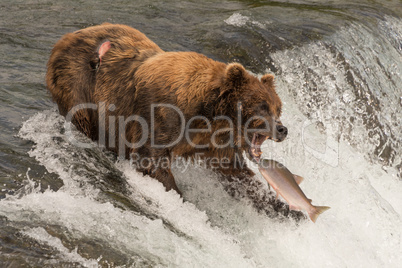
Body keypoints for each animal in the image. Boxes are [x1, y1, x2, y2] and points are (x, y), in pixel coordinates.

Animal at [45, 23, 288, 202]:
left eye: (278, 107)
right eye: (262, 106)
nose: (282, 129)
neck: (209, 113)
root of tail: (65, 38)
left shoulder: (214, 139)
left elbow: (232, 169)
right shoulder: (162, 115)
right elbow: (151, 158)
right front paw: (178, 195)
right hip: (78, 86)